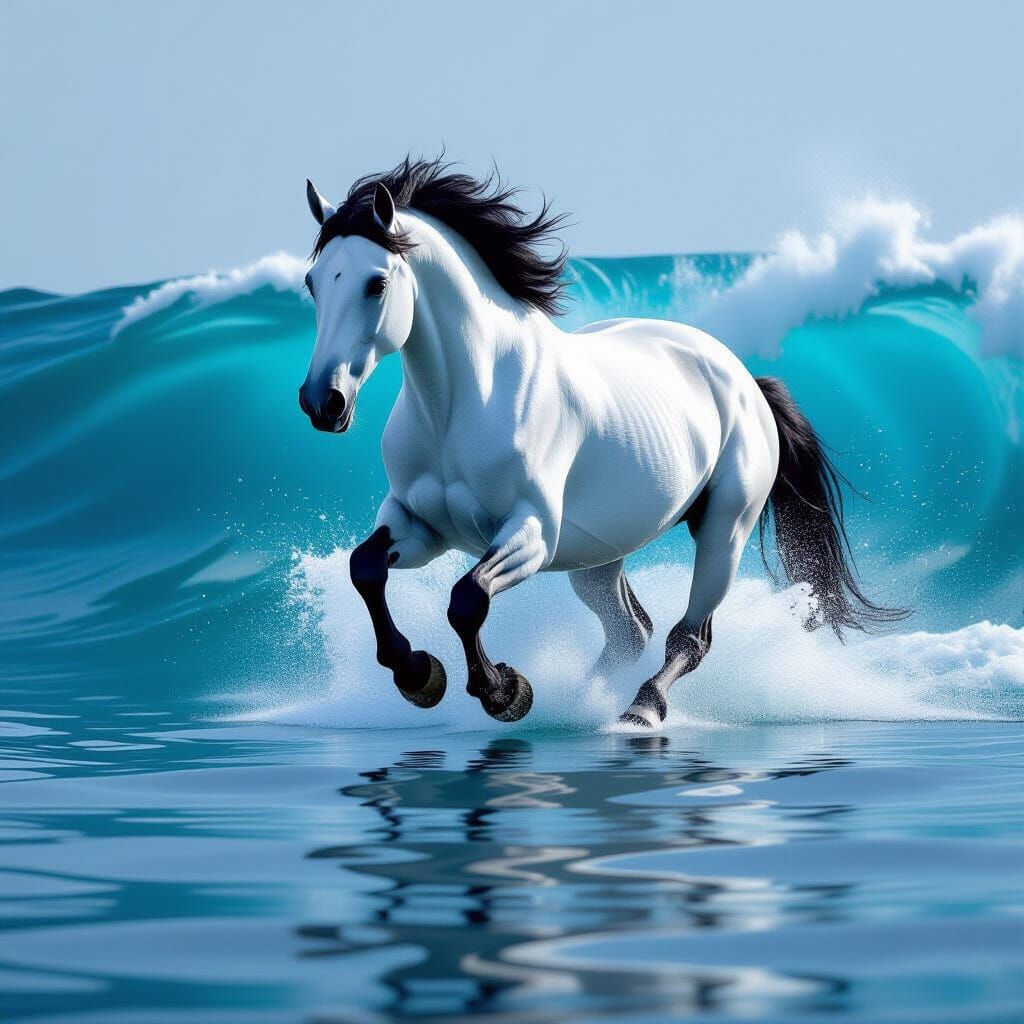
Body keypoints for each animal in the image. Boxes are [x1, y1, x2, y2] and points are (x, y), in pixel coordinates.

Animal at [298, 157, 906, 727]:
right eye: (312, 282)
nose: (322, 402)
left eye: (376, 283)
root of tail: (743, 379)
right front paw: (418, 674)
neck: (463, 405)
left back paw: (640, 708)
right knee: (630, 632)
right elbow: (365, 568)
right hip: (595, 557)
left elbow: (467, 600)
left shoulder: (530, 534)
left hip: (723, 532)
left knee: (689, 637)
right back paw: (581, 700)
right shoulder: (420, 525)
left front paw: (501, 691)